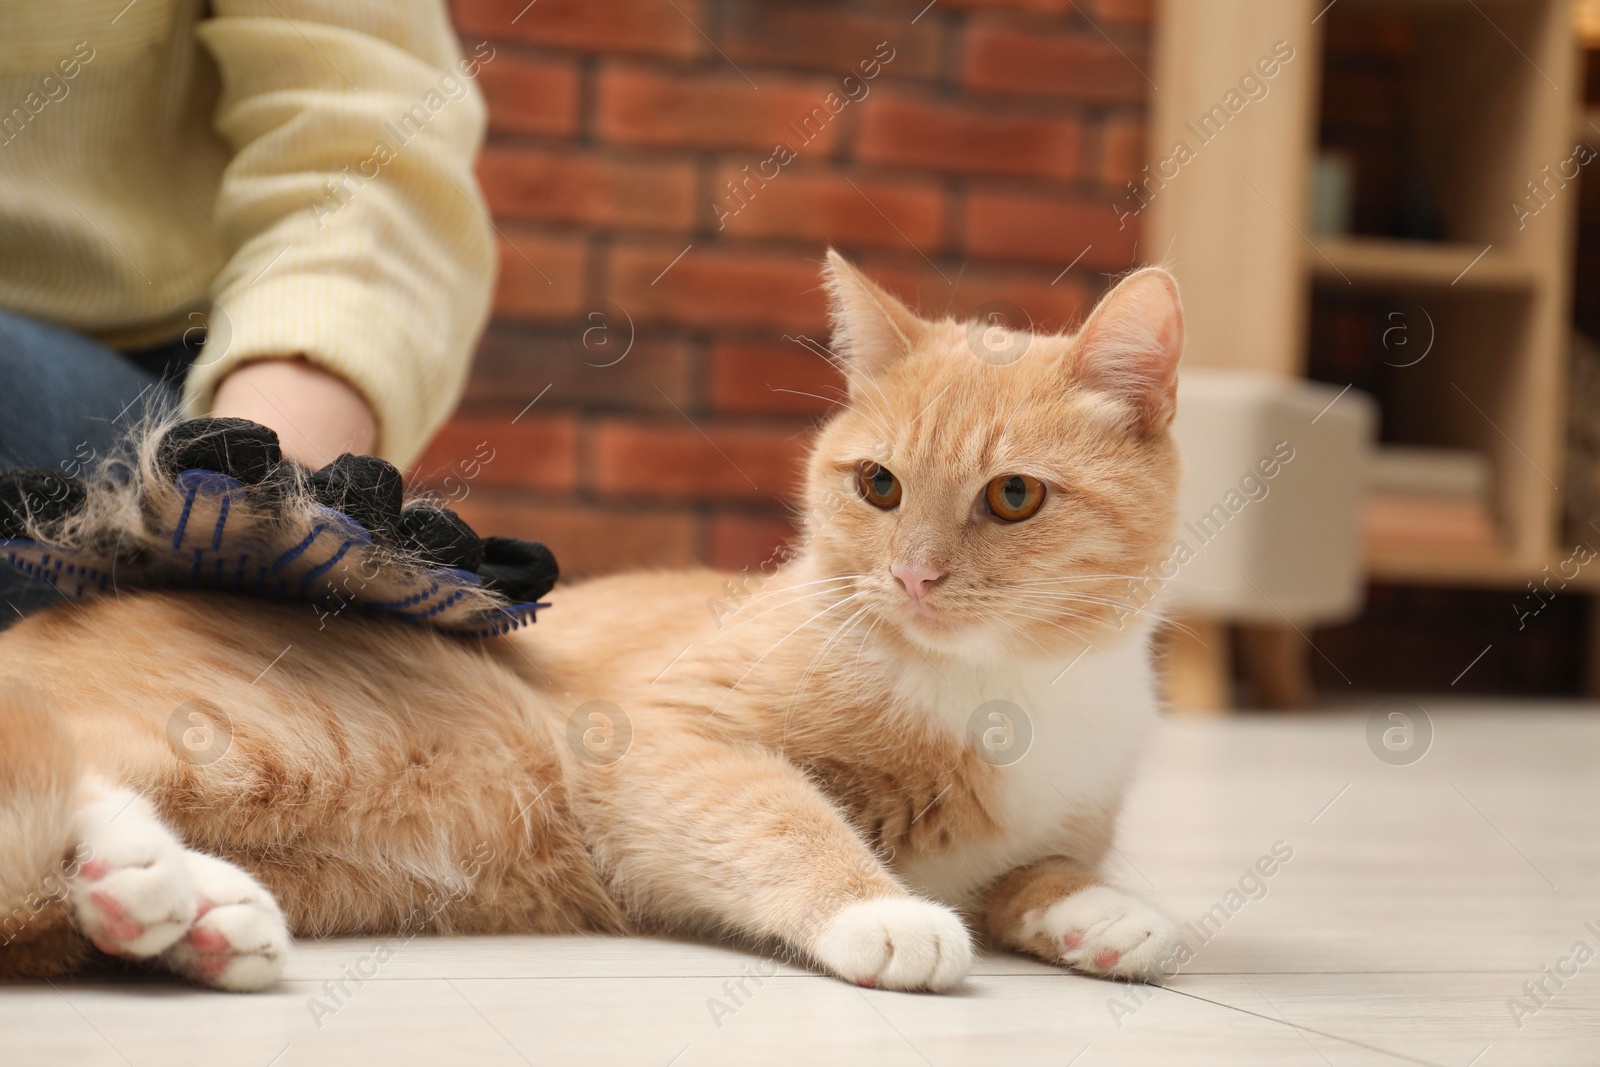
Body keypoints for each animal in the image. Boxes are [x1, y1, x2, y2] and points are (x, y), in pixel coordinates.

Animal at [0, 254, 1190, 998]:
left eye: (1014, 498)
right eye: (880, 485)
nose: (912, 576)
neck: (1001, 688)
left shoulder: (1044, 826)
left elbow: (1038, 871)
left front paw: (1103, 913)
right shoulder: (662, 736)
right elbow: (782, 817)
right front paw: (880, 910)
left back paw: (187, 913)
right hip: (274, 739)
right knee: (62, 768)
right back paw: (148, 876)